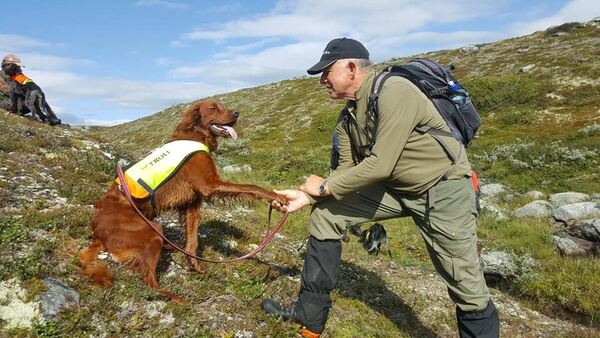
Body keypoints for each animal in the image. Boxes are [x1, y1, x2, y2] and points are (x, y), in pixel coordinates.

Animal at [78, 99, 286, 302]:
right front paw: (278, 197)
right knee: (149, 280)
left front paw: (194, 265)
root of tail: (97, 233)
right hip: (151, 231)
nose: (236, 114)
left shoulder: (192, 204)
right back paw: (176, 298)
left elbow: (192, 240)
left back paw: (172, 246)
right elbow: (252, 187)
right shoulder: (209, 185)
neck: (195, 135)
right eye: (213, 108)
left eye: (223, 106)